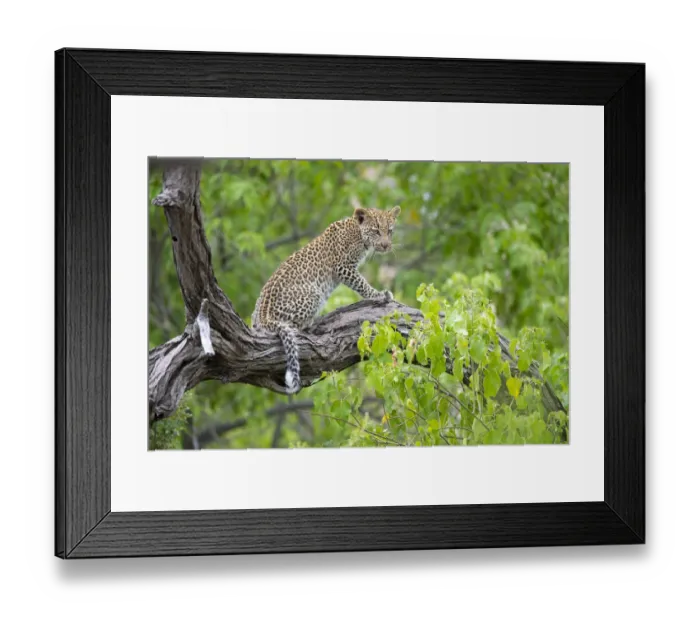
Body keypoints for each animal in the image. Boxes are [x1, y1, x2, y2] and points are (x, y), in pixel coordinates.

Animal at [252, 205, 401, 394]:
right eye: (376, 231)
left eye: (390, 231)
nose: (386, 245)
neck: (358, 234)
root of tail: (263, 317)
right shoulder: (343, 267)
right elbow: (362, 284)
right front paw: (380, 295)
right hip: (314, 294)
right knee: (296, 325)